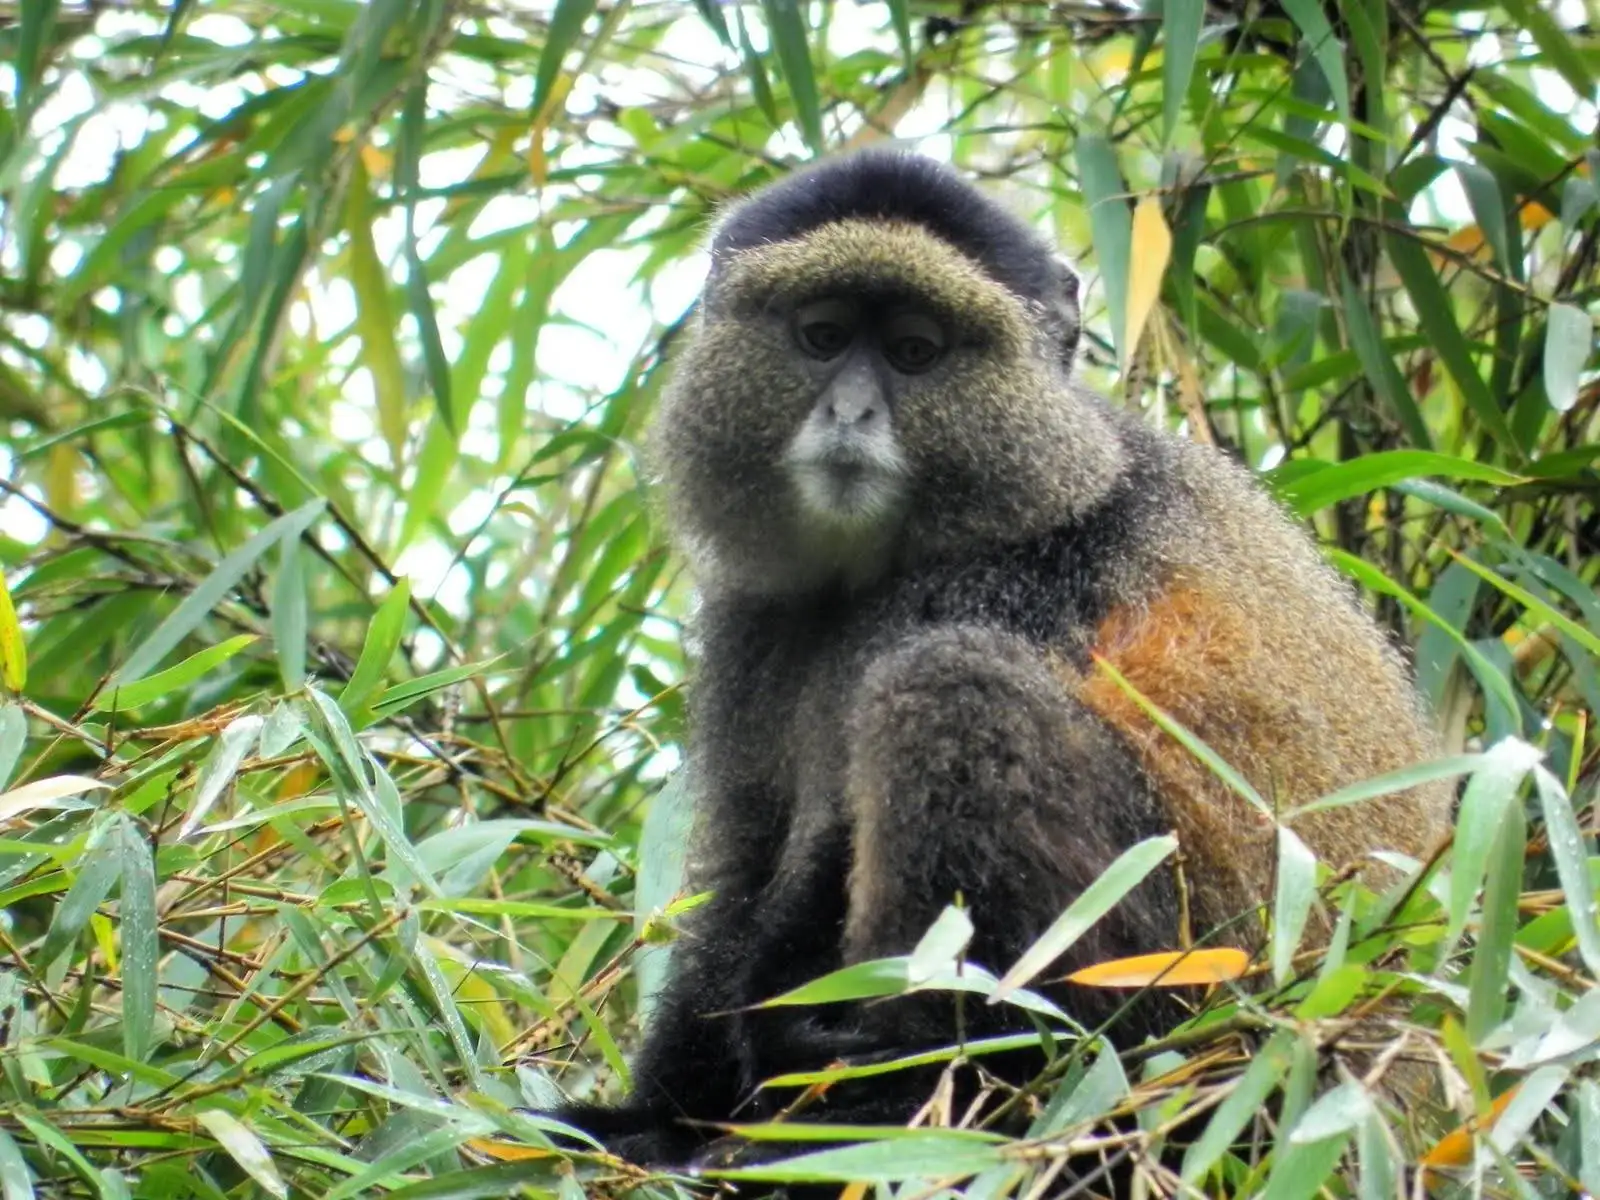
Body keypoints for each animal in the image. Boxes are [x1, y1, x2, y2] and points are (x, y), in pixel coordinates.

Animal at [543, 149, 1453, 1173]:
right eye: (822, 337)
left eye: (915, 352)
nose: (850, 410)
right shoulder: (754, 625)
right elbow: (746, 862)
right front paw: (652, 1121)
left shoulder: (1002, 583)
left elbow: (831, 838)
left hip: (1183, 1003)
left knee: (954, 693)